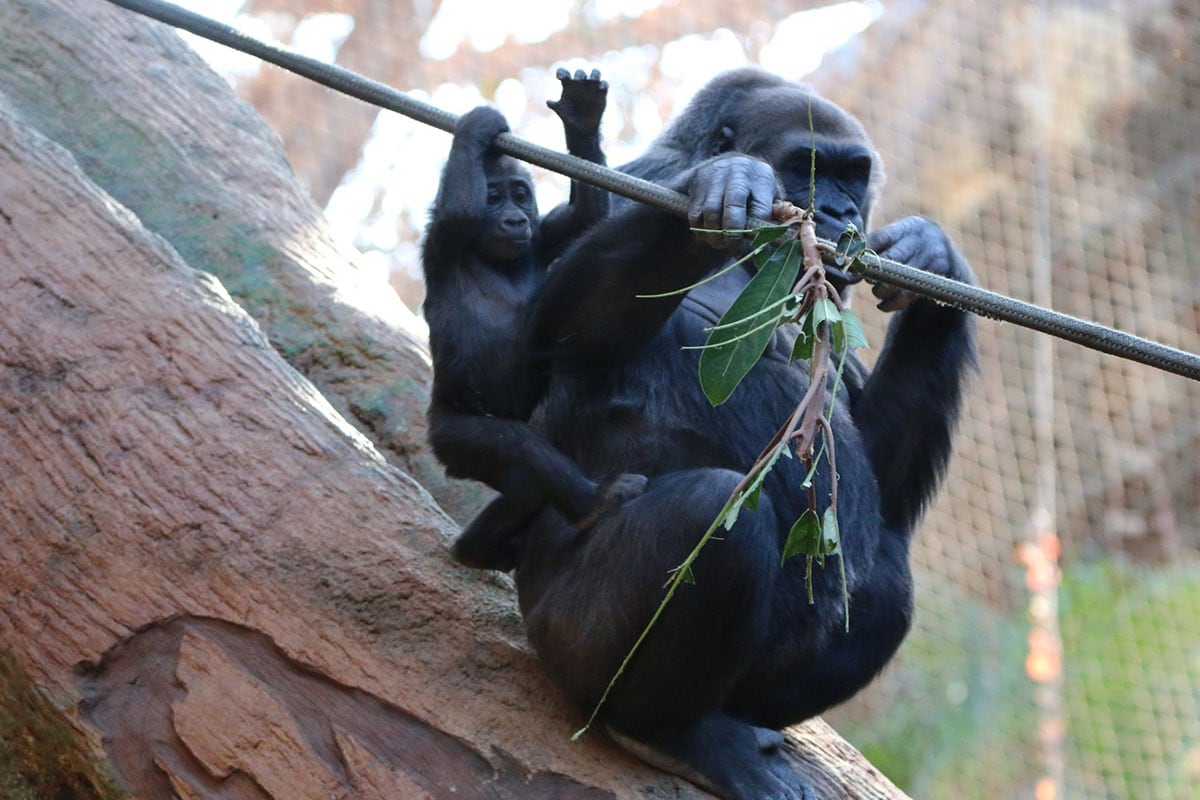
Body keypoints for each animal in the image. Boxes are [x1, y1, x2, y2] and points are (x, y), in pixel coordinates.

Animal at [422, 70, 648, 568]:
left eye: (520, 196)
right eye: (493, 198)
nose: (512, 219)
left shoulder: (546, 234)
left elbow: (586, 217)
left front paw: (581, 121)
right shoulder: (444, 238)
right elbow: (459, 209)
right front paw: (477, 126)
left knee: (525, 486)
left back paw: (479, 547)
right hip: (449, 433)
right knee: (517, 447)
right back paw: (591, 504)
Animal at [508, 67, 974, 800]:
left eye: (852, 174)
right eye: (806, 167)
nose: (838, 213)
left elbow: (873, 462)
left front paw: (936, 265)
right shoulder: (641, 180)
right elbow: (550, 332)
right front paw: (727, 181)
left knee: (886, 582)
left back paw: (735, 722)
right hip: (560, 638)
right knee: (714, 512)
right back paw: (665, 732)